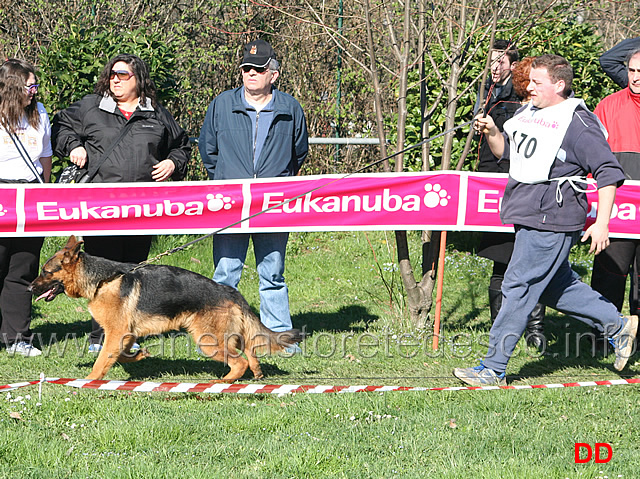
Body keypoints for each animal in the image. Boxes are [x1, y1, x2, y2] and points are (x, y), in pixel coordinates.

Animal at [27, 236, 302, 382]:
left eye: (46, 272)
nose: (29, 287)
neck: (103, 280)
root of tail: (230, 291)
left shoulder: (116, 333)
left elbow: (101, 360)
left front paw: (88, 383)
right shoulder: (125, 335)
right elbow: (122, 354)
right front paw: (140, 355)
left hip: (208, 342)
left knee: (239, 363)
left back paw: (223, 382)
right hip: (230, 336)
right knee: (251, 354)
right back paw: (256, 375)